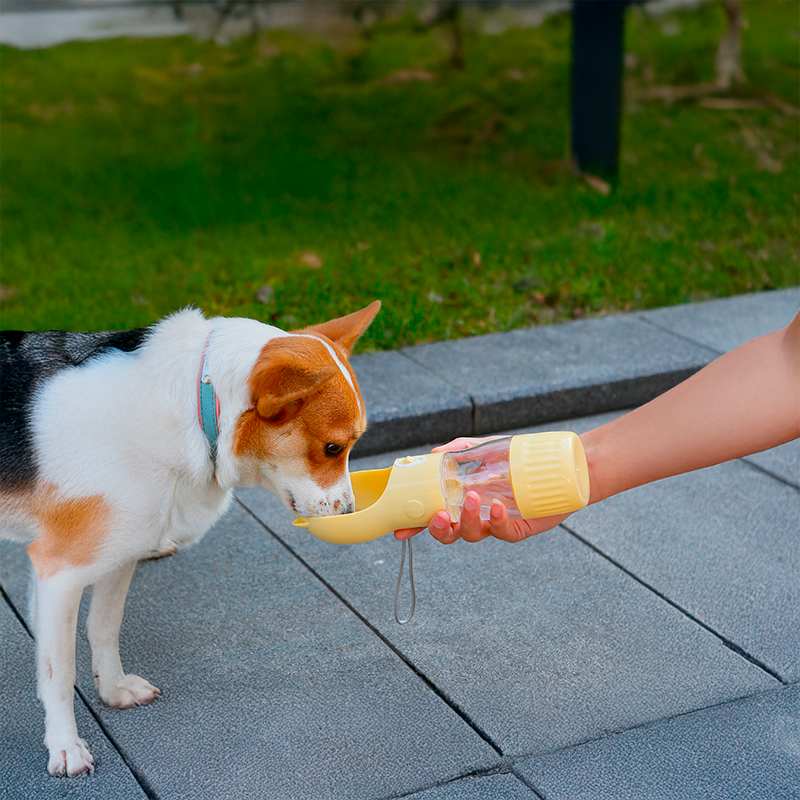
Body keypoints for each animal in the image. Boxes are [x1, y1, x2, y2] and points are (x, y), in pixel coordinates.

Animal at [0, 300, 380, 776]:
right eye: (333, 448)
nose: (350, 515)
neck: (195, 409)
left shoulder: (120, 555)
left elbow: (104, 628)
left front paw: (114, 690)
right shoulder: (59, 571)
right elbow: (59, 673)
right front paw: (65, 746)